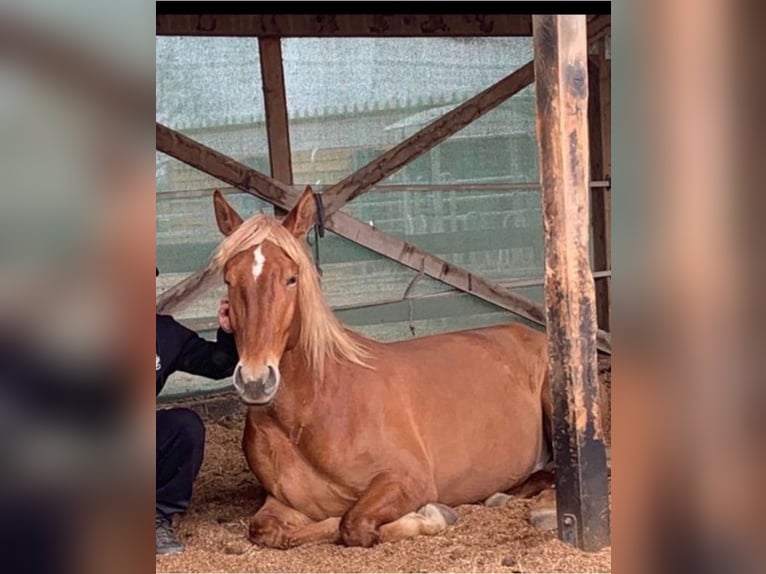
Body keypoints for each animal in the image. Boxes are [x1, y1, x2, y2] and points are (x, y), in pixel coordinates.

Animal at [210, 188, 560, 548]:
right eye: (229, 279)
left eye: (291, 278)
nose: (255, 382)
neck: (313, 411)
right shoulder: (283, 502)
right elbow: (268, 530)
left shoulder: (409, 479)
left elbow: (352, 524)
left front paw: (431, 516)